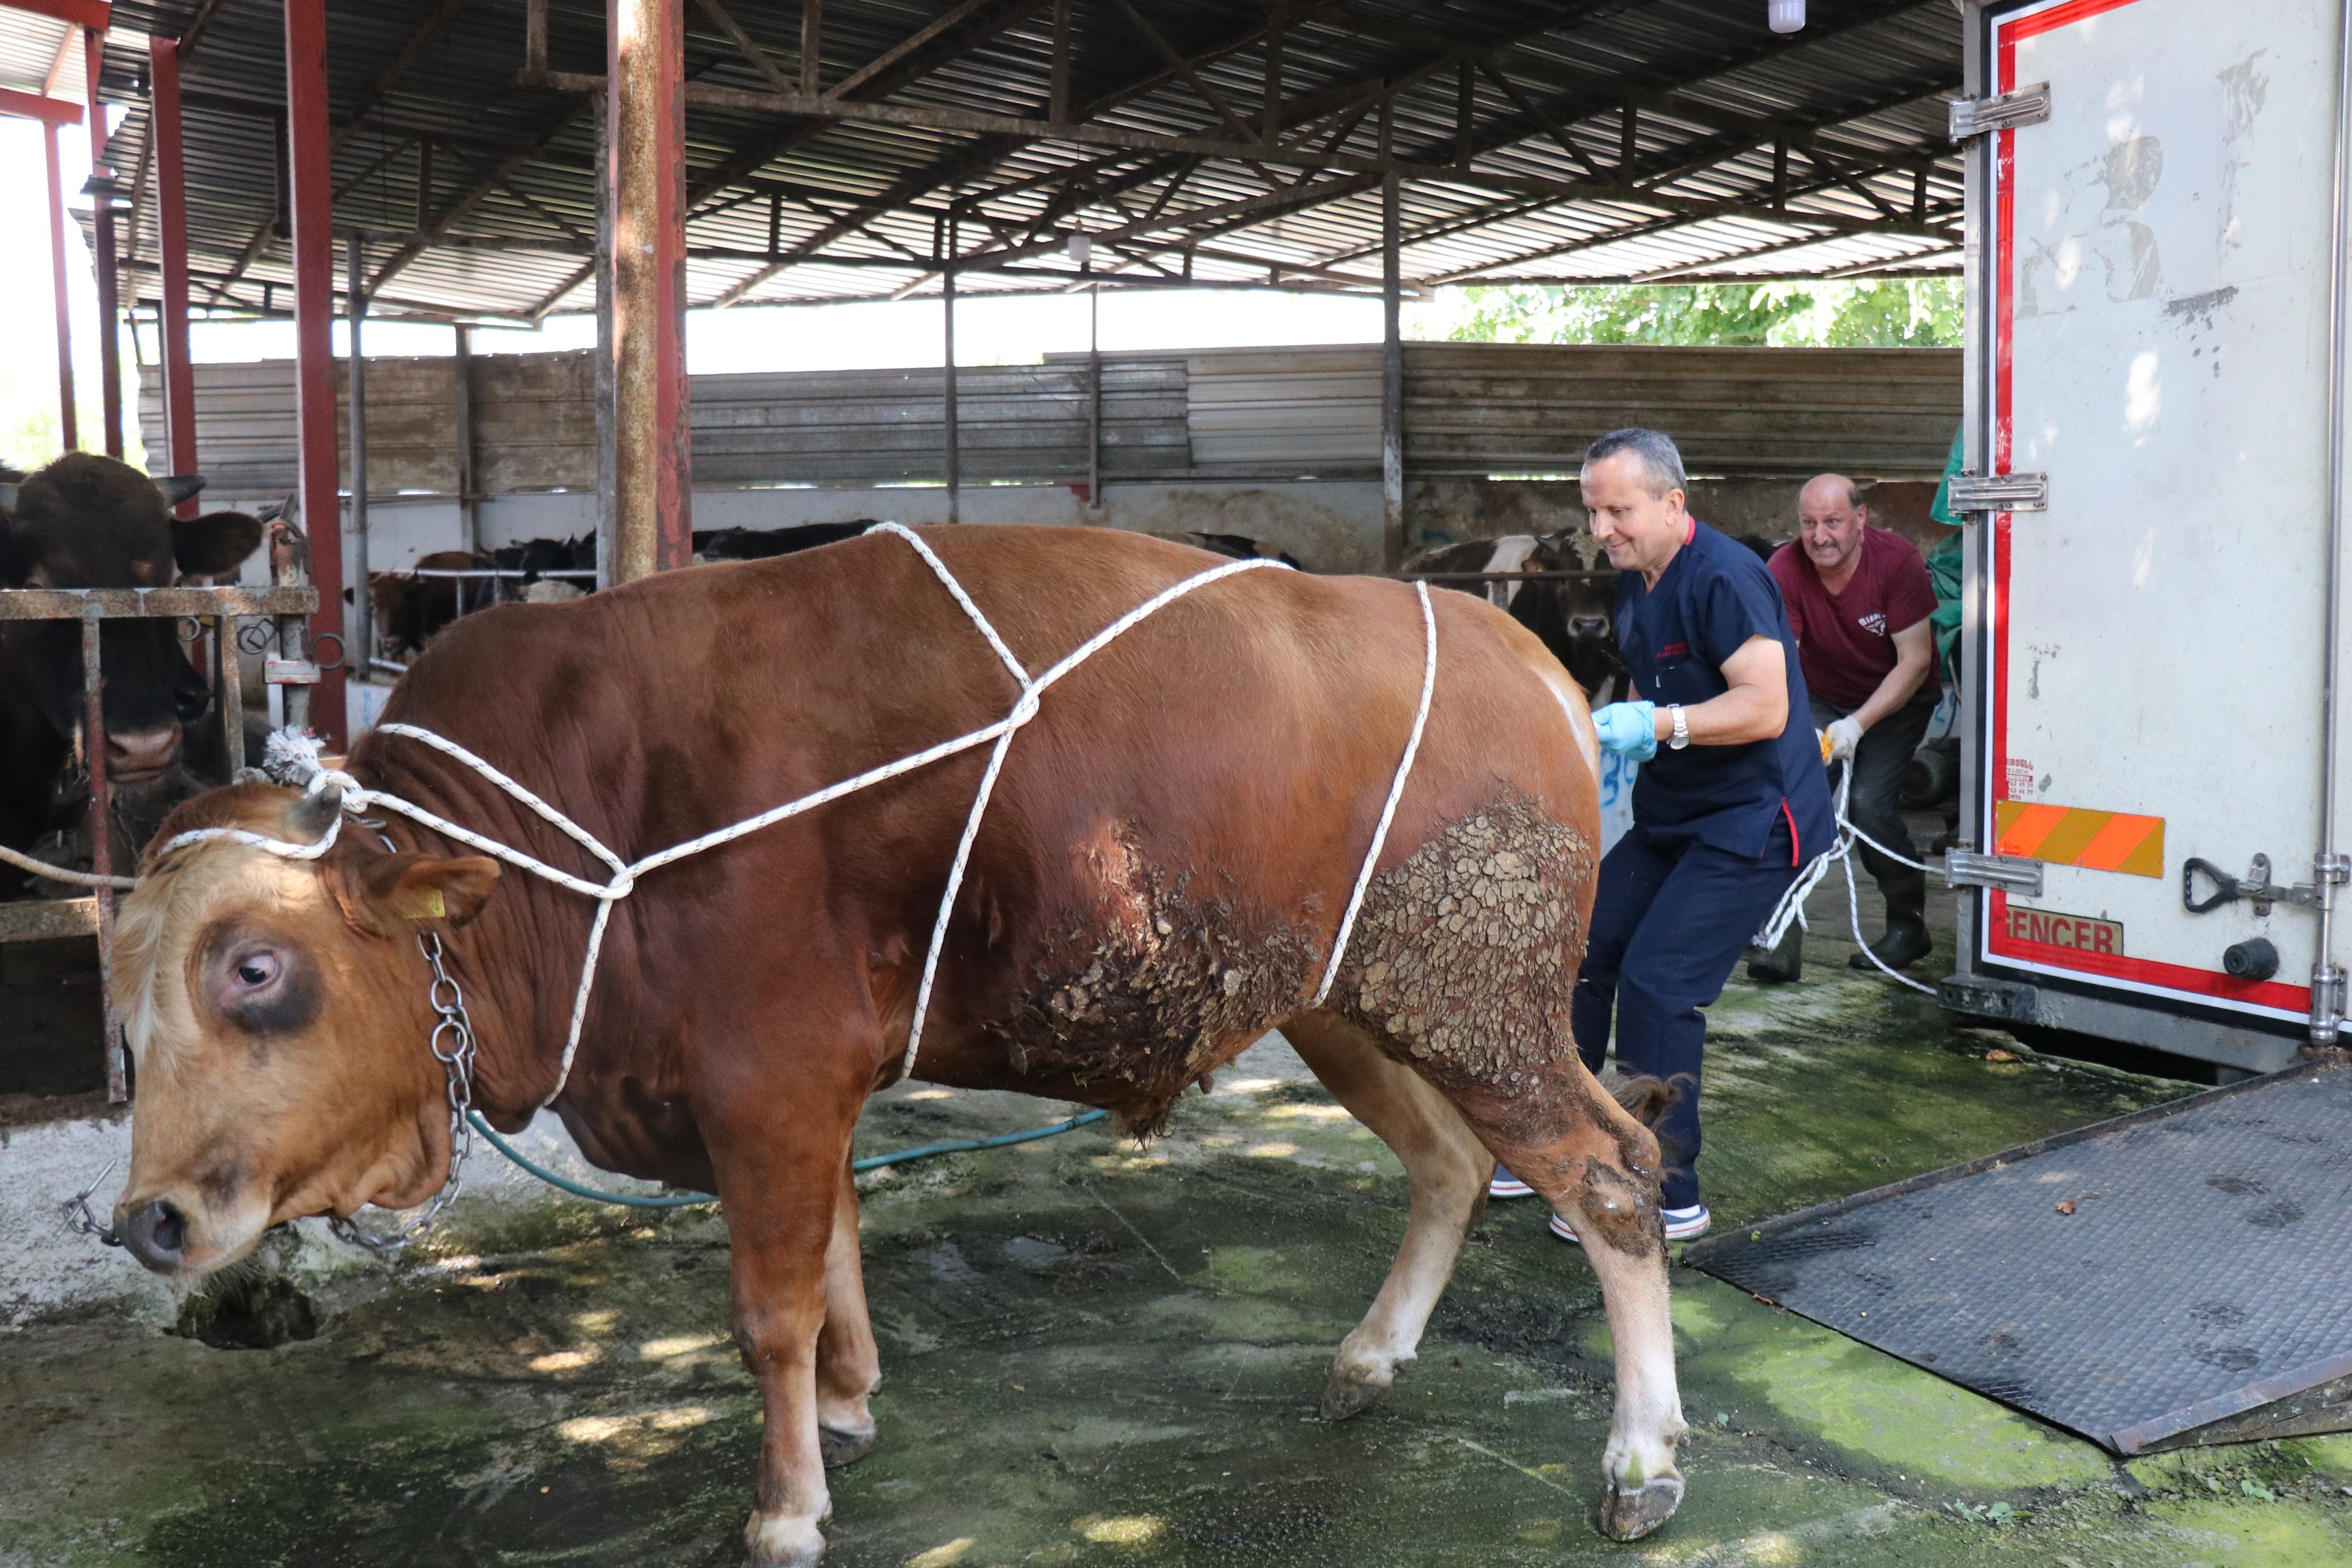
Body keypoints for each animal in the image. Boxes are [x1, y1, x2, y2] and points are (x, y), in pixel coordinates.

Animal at [114, 526, 1693, 1561]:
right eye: (123, 1005)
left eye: (256, 969)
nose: (148, 1219)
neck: (566, 841)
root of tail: (1525, 654)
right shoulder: (805, 1095)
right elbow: (837, 1255)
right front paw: (851, 1408)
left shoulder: (768, 1084)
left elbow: (770, 1307)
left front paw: (786, 1508)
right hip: (1359, 1005)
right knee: (1450, 1166)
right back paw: (1371, 1360)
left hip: (1483, 1011)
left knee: (1613, 1175)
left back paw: (1641, 1459)